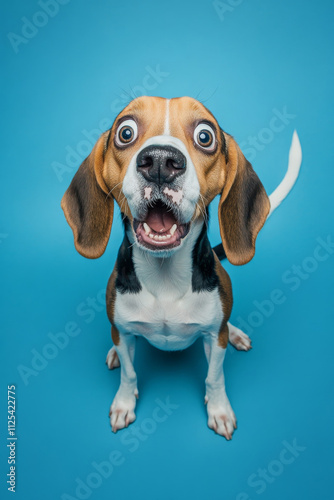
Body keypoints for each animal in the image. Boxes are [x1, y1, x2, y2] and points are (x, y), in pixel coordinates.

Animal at [61, 95, 302, 440]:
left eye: (205, 136)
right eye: (125, 132)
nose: (160, 162)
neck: (165, 277)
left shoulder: (214, 337)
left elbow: (214, 377)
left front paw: (219, 410)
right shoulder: (123, 331)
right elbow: (130, 374)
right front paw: (124, 404)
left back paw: (237, 333)